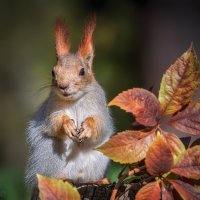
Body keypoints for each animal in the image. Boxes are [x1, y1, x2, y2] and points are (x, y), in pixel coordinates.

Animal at [25, 16, 114, 188]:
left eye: (82, 71)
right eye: (53, 72)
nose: (63, 86)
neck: (75, 100)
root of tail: (76, 178)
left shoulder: (100, 106)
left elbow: (101, 124)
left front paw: (88, 127)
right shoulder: (51, 108)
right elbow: (53, 122)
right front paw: (66, 124)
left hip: (100, 157)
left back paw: (97, 180)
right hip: (49, 155)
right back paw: (61, 178)